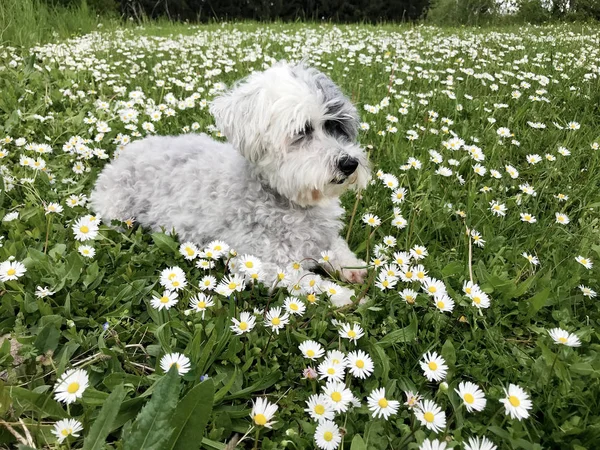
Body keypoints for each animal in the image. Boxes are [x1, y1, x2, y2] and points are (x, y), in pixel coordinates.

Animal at [90, 61, 370, 284]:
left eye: (336, 127)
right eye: (303, 131)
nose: (349, 164)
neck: (293, 203)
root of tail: (125, 152)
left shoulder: (324, 237)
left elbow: (338, 247)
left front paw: (353, 267)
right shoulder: (265, 264)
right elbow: (315, 286)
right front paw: (345, 297)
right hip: (118, 215)